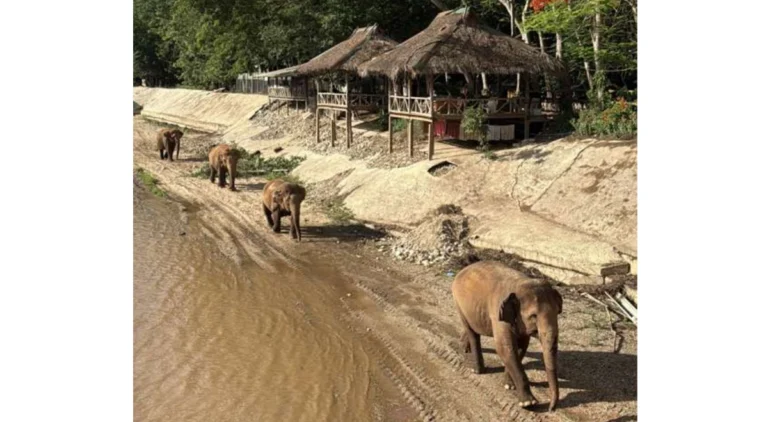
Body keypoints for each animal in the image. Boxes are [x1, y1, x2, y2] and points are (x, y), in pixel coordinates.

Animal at [451, 261, 563, 411]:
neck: (521, 283)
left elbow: (521, 348)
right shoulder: (498, 313)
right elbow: (505, 348)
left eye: (557, 312)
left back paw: (464, 347)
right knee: (472, 332)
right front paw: (528, 403)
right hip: (459, 303)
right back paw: (477, 370)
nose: (551, 408)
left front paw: (509, 386)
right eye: (534, 316)